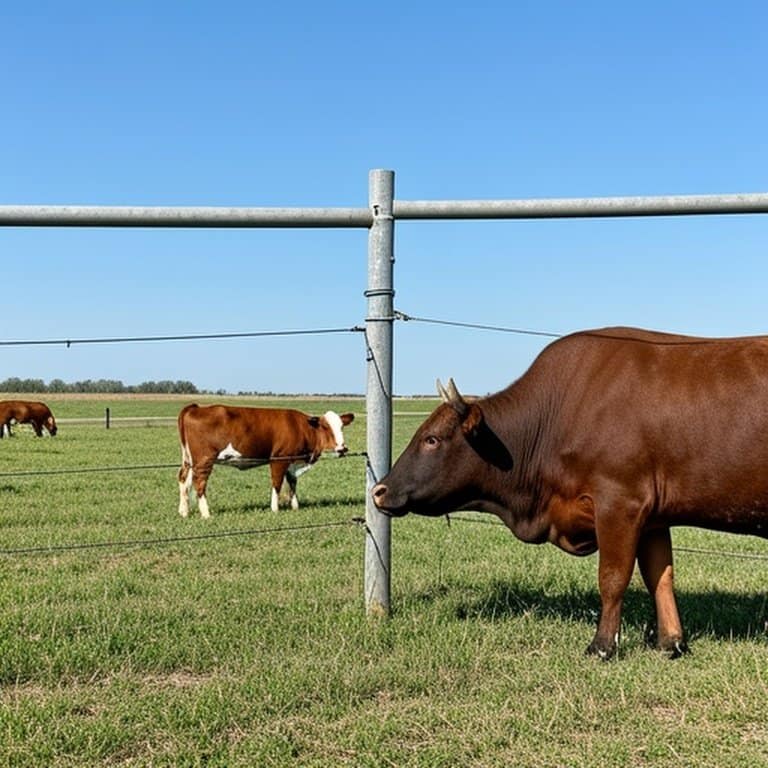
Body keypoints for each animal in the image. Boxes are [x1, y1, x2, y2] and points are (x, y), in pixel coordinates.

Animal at [178, 403, 354, 518]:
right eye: (325, 427)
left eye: (341, 427)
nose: (342, 448)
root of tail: (195, 407)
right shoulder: (278, 459)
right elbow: (277, 484)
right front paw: (275, 509)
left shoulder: (292, 462)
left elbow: (292, 483)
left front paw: (295, 506)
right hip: (204, 460)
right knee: (199, 484)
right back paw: (206, 513)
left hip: (190, 461)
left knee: (184, 480)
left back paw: (184, 512)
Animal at [372, 326, 768, 660]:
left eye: (432, 439)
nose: (379, 490)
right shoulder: (653, 516)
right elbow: (659, 575)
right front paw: (671, 642)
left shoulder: (619, 502)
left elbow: (612, 577)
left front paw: (602, 646)